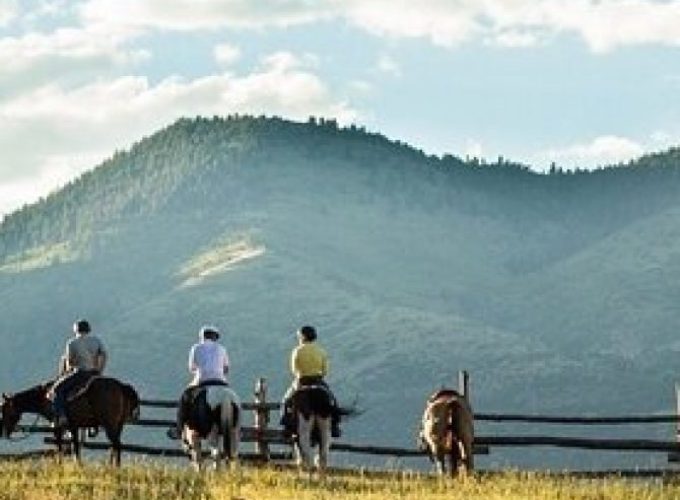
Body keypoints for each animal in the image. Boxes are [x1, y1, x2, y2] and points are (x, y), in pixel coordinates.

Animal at [0, 376, 139, 466]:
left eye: (5, 410)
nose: (4, 433)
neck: (45, 397)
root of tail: (121, 386)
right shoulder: (73, 427)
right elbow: (75, 447)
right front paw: (78, 465)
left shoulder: (56, 426)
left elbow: (59, 446)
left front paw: (59, 464)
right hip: (118, 425)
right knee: (114, 446)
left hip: (110, 424)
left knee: (116, 445)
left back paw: (115, 468)